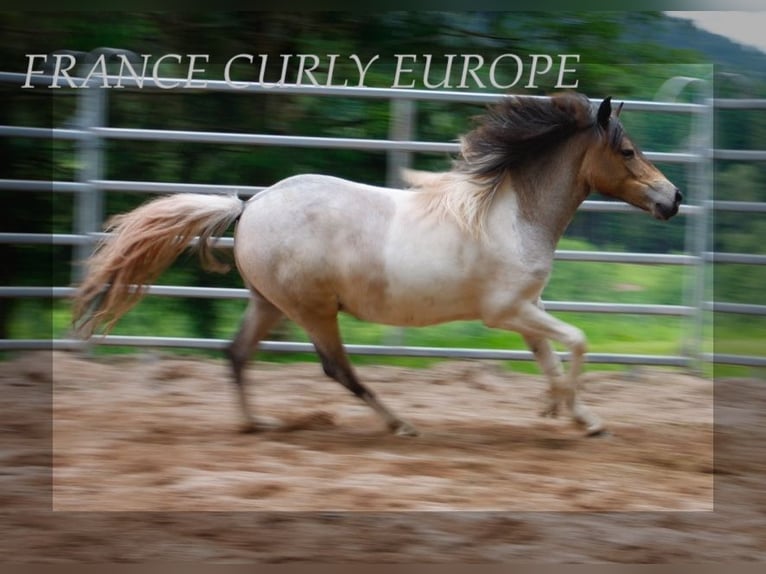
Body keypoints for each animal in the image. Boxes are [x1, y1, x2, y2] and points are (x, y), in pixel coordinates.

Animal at [73, 93, 684, 436]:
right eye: (627, 151)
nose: (673, 199)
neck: (511, 214)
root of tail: (250, 205)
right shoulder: (506, 311)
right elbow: (577, 341)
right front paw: (569, 414)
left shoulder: (525, 309)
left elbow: (551, 360)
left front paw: (575, 417)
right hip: (314, 311)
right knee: (337, 370)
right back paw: (400, 424)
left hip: (269, 303)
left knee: (237, 354)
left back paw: (256, 424)